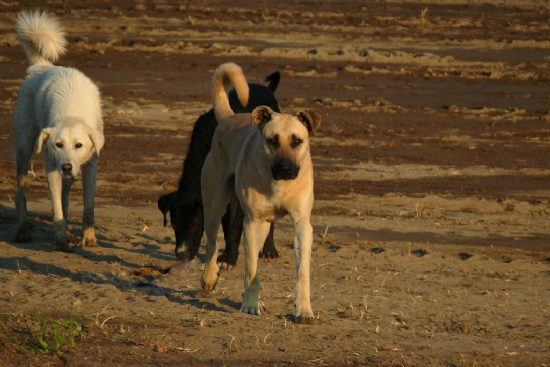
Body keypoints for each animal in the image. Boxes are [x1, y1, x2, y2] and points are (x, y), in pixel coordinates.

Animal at [12, 11, 105, 253]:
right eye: (58, 144)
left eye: (79, 145)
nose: (66, 166)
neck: (71, 114)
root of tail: (41, 66)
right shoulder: (51, 167)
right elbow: (56, 211)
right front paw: (61, 240)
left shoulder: (89, 166)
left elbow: (88, 207)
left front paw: (87, 238)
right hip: (24, 150)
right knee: (20, 192)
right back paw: (23, 229)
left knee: (65, 195)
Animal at [157, 72, 282, 268]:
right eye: (174, 225)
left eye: (194, 225)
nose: (181, 255)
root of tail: (267, 89)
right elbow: (227, 224)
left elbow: (236, 227)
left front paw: (229, 258)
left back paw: (269, 249)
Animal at [201, 64, 322, 324]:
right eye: (272, 140)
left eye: (297, 141)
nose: (286, 169)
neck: (279, 185)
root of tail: (229, 118)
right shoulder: (252, 222)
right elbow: (251, 271)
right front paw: (249, 304)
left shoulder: (302, 225)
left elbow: (302, 274)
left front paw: (304, 310)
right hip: (215, 206)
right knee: (212, 244)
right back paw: (208, 278)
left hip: (264, 225)